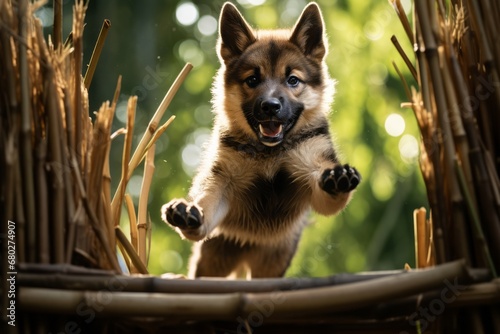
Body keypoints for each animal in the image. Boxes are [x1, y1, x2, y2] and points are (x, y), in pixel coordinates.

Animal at [161, 1, 360, 280]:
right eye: (252, 80)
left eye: (293, 80)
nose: (270, 107)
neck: (271, 153)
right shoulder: (221, 181)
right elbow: (207, 204)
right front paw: (190, 213)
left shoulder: (313, 169)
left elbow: (329, 195)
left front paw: (338, 179)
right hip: (214, 258)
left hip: (271, 262)